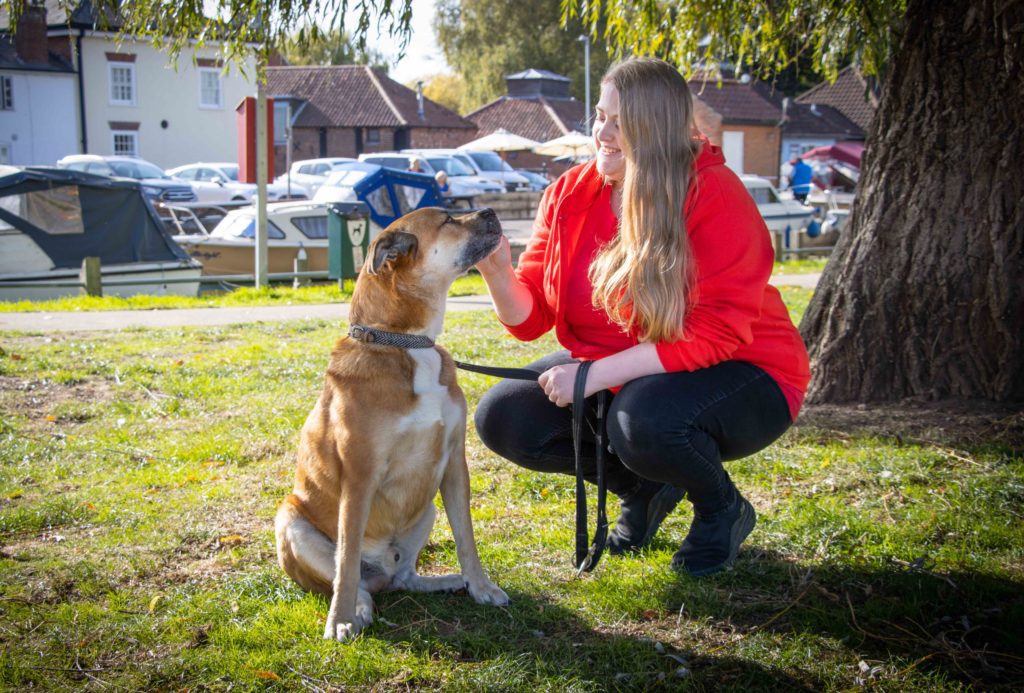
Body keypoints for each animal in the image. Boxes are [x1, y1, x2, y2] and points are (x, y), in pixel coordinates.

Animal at [276, 206, 507, 642]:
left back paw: (445, 581)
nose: (490, 210)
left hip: (426, 508)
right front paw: (340, 618)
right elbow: (346, 562)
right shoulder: (360, 476)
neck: (406, 343)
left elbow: (466, 537)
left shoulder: (454, 465)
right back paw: (358, 608)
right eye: (448, 219)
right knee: (353, 579)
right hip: (290, 521)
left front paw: (480, 585)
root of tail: (380, 570)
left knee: (403, 578)